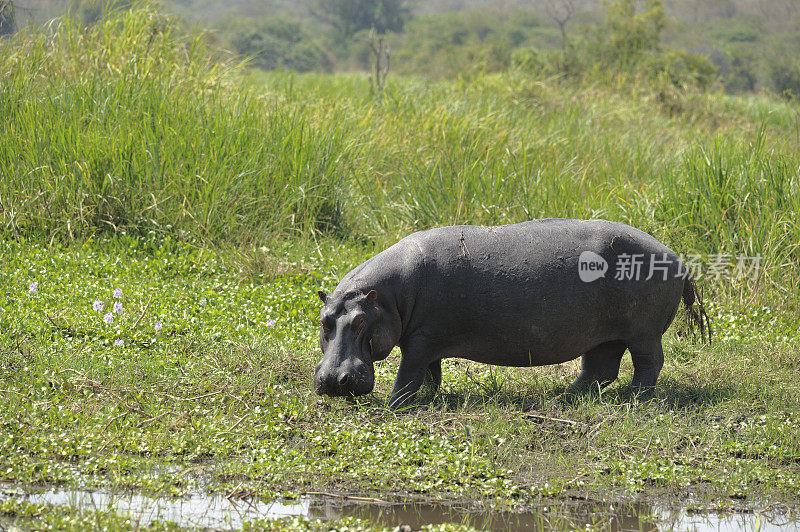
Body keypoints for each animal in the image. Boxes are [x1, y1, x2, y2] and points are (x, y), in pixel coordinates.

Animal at [316, 218, 708, 410]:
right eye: (323, 321)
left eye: (360, 321)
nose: (331, 382)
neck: (387, 297)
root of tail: (677, 259)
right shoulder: (425, 338)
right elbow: (430, 374)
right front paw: (429, 397)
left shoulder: (421, 340)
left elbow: (408, 374)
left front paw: (392, 407)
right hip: (603, 335)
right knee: (600, 370)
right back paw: (562, 398)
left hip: (642, 333)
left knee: (648, 364)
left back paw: (635, 398)